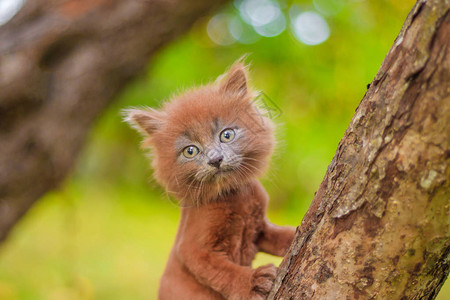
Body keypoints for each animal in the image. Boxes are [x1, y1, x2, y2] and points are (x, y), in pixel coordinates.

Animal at [125, 61, 298, 300]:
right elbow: (223, 272)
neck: (236, 196)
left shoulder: (260, 228)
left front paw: (295, 234)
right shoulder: (193, 250)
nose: (215, 159)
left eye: (226, 135)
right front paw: (251, 282)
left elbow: (279, 235)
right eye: (190, 151)